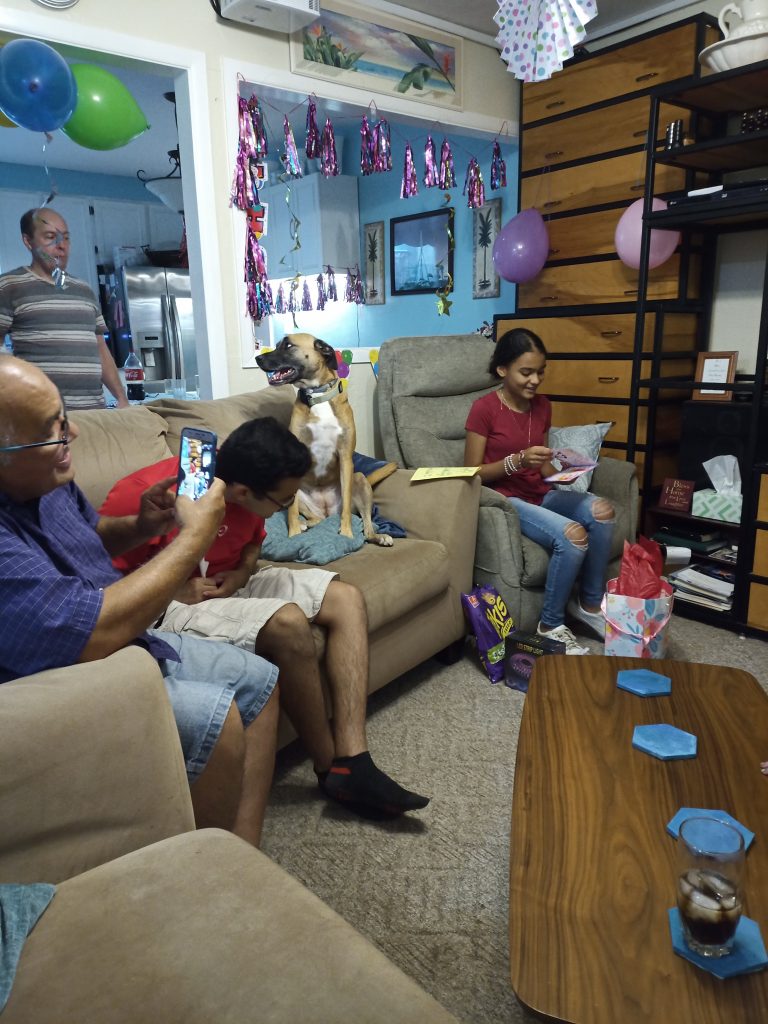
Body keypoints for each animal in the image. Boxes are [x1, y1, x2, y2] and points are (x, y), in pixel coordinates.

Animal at [256, 333, 394, 547]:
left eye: (288, 345)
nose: (258, 358)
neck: (317, 395)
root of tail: (327, 512)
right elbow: (292, 512)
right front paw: (293, 534)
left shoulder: (345, 457)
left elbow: (347, 511)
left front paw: (346, 534)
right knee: (314, 518)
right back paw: (304, 524)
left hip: (359, 479)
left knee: (367, 526)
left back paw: (379, 536)